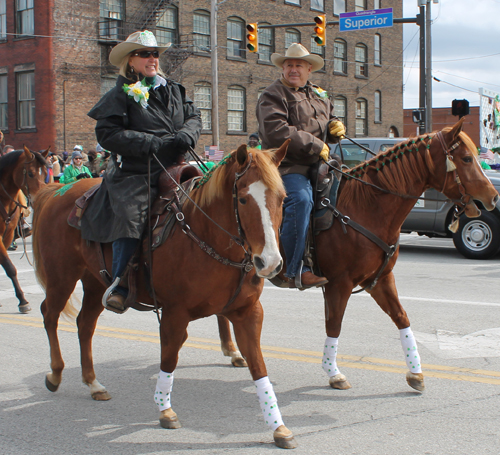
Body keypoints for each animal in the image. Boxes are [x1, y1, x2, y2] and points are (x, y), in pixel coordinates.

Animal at [0, 147, 48, 314]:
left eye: (45, 173)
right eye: (31, 173)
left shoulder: (7, 236)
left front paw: (22, 300)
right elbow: (9, 267)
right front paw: (23, 301)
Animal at [33, 144, 298, 450]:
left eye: (282, 198)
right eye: (243, 199)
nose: (269, 262)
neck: (206, 237)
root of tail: (57, 191)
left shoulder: (248, 313)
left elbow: (258, 366)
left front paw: (278, 426)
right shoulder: (175, 314)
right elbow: (169, 359)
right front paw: (165, 409)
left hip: (95, 283)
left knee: (84, 325)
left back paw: (93, 384)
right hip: (61, 277)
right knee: (49, 315)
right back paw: (55, 373)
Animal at [216, 120, 500, 392]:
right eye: (466, 158)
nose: (493, 196)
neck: (366, 207)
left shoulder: (381, 279)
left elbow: (402, 318)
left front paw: (416, 373)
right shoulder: (339, 284)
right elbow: (335, 325)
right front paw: (333, 373)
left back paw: (233, 352)